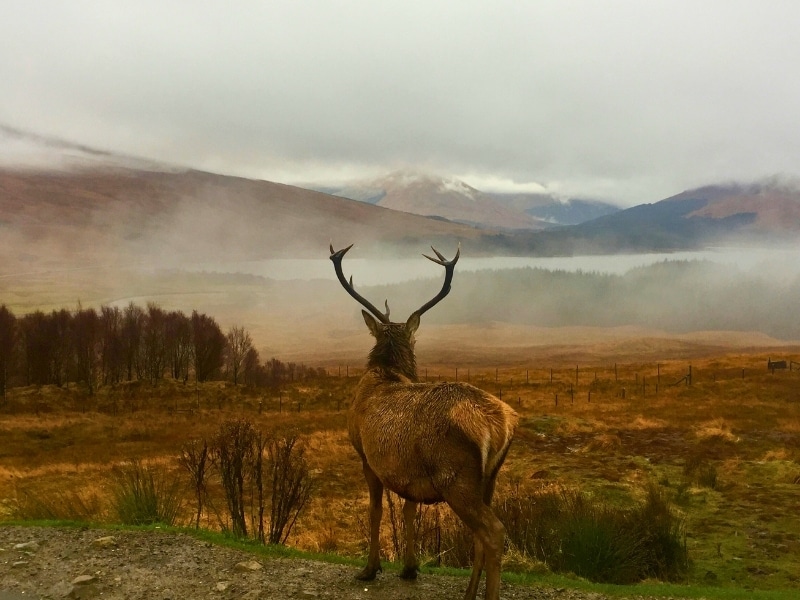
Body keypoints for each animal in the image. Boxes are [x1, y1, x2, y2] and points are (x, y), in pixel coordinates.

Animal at [330, 243, 518, 600]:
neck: (386, 373)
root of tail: (500, 426)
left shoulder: (365, 456)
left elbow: (375, 511)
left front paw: (370, 569)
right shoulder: (409, 472)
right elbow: (409, 510)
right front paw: (409, 568)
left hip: (455, 477)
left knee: (495, 531)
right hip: (489, 479)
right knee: (481, 536)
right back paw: (468, 594)